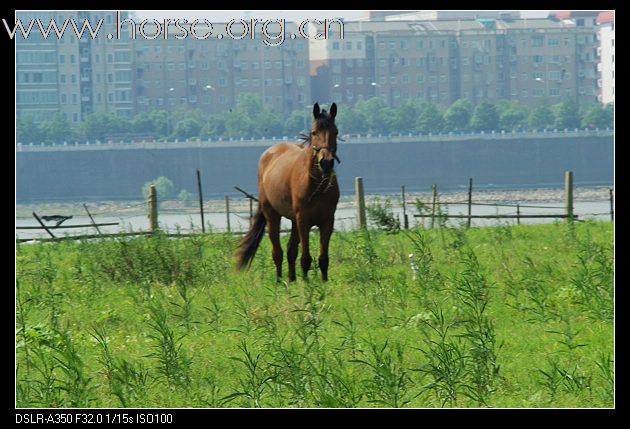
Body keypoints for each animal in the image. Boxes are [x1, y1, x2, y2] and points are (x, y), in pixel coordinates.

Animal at [236, 101, 340, 280]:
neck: (316, 185)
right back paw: (279, 281)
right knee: (277, 252)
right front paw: (307, 285)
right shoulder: (303, 220)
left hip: (292, 220)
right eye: (314, 132)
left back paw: (291, 280)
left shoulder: (327, 221)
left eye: (336, 132)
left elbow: (323, 258)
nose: (326, 162)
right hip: (272, 215)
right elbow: (305, 259)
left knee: (291, 250)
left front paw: (323, 283)